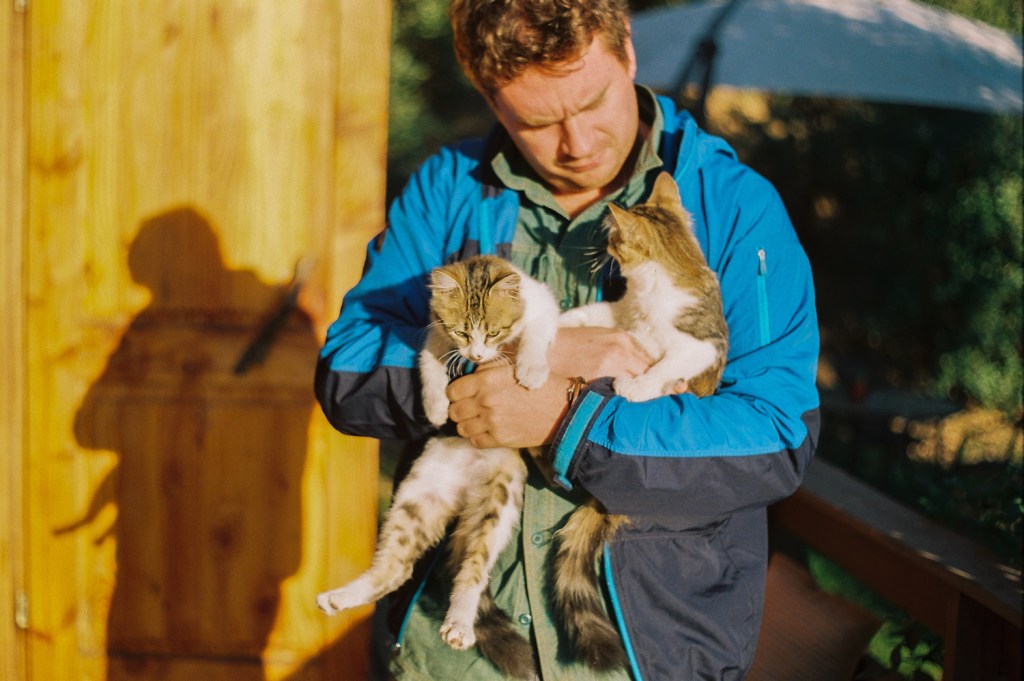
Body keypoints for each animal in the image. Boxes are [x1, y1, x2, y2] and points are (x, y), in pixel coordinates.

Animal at [315, 254, 560, 681]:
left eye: (494, 332)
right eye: (462, 331)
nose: (476, 356)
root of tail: (464, 494)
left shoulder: (544, 307)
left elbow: (535, 334)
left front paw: (530, 371)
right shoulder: (435, 333)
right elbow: (427, 360)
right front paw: (433, 405)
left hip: (497, 505)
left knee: (473, 570)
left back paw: (459, 624)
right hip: (417, 496)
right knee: (397, 569)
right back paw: (342, 597)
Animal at [552, 171, 729, 671]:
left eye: (613, 238)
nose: (602, 251)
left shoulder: (700, 348)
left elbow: (668, 365)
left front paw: (636, 386)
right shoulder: (622, 315)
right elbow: (593, 313)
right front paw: (558, 318)